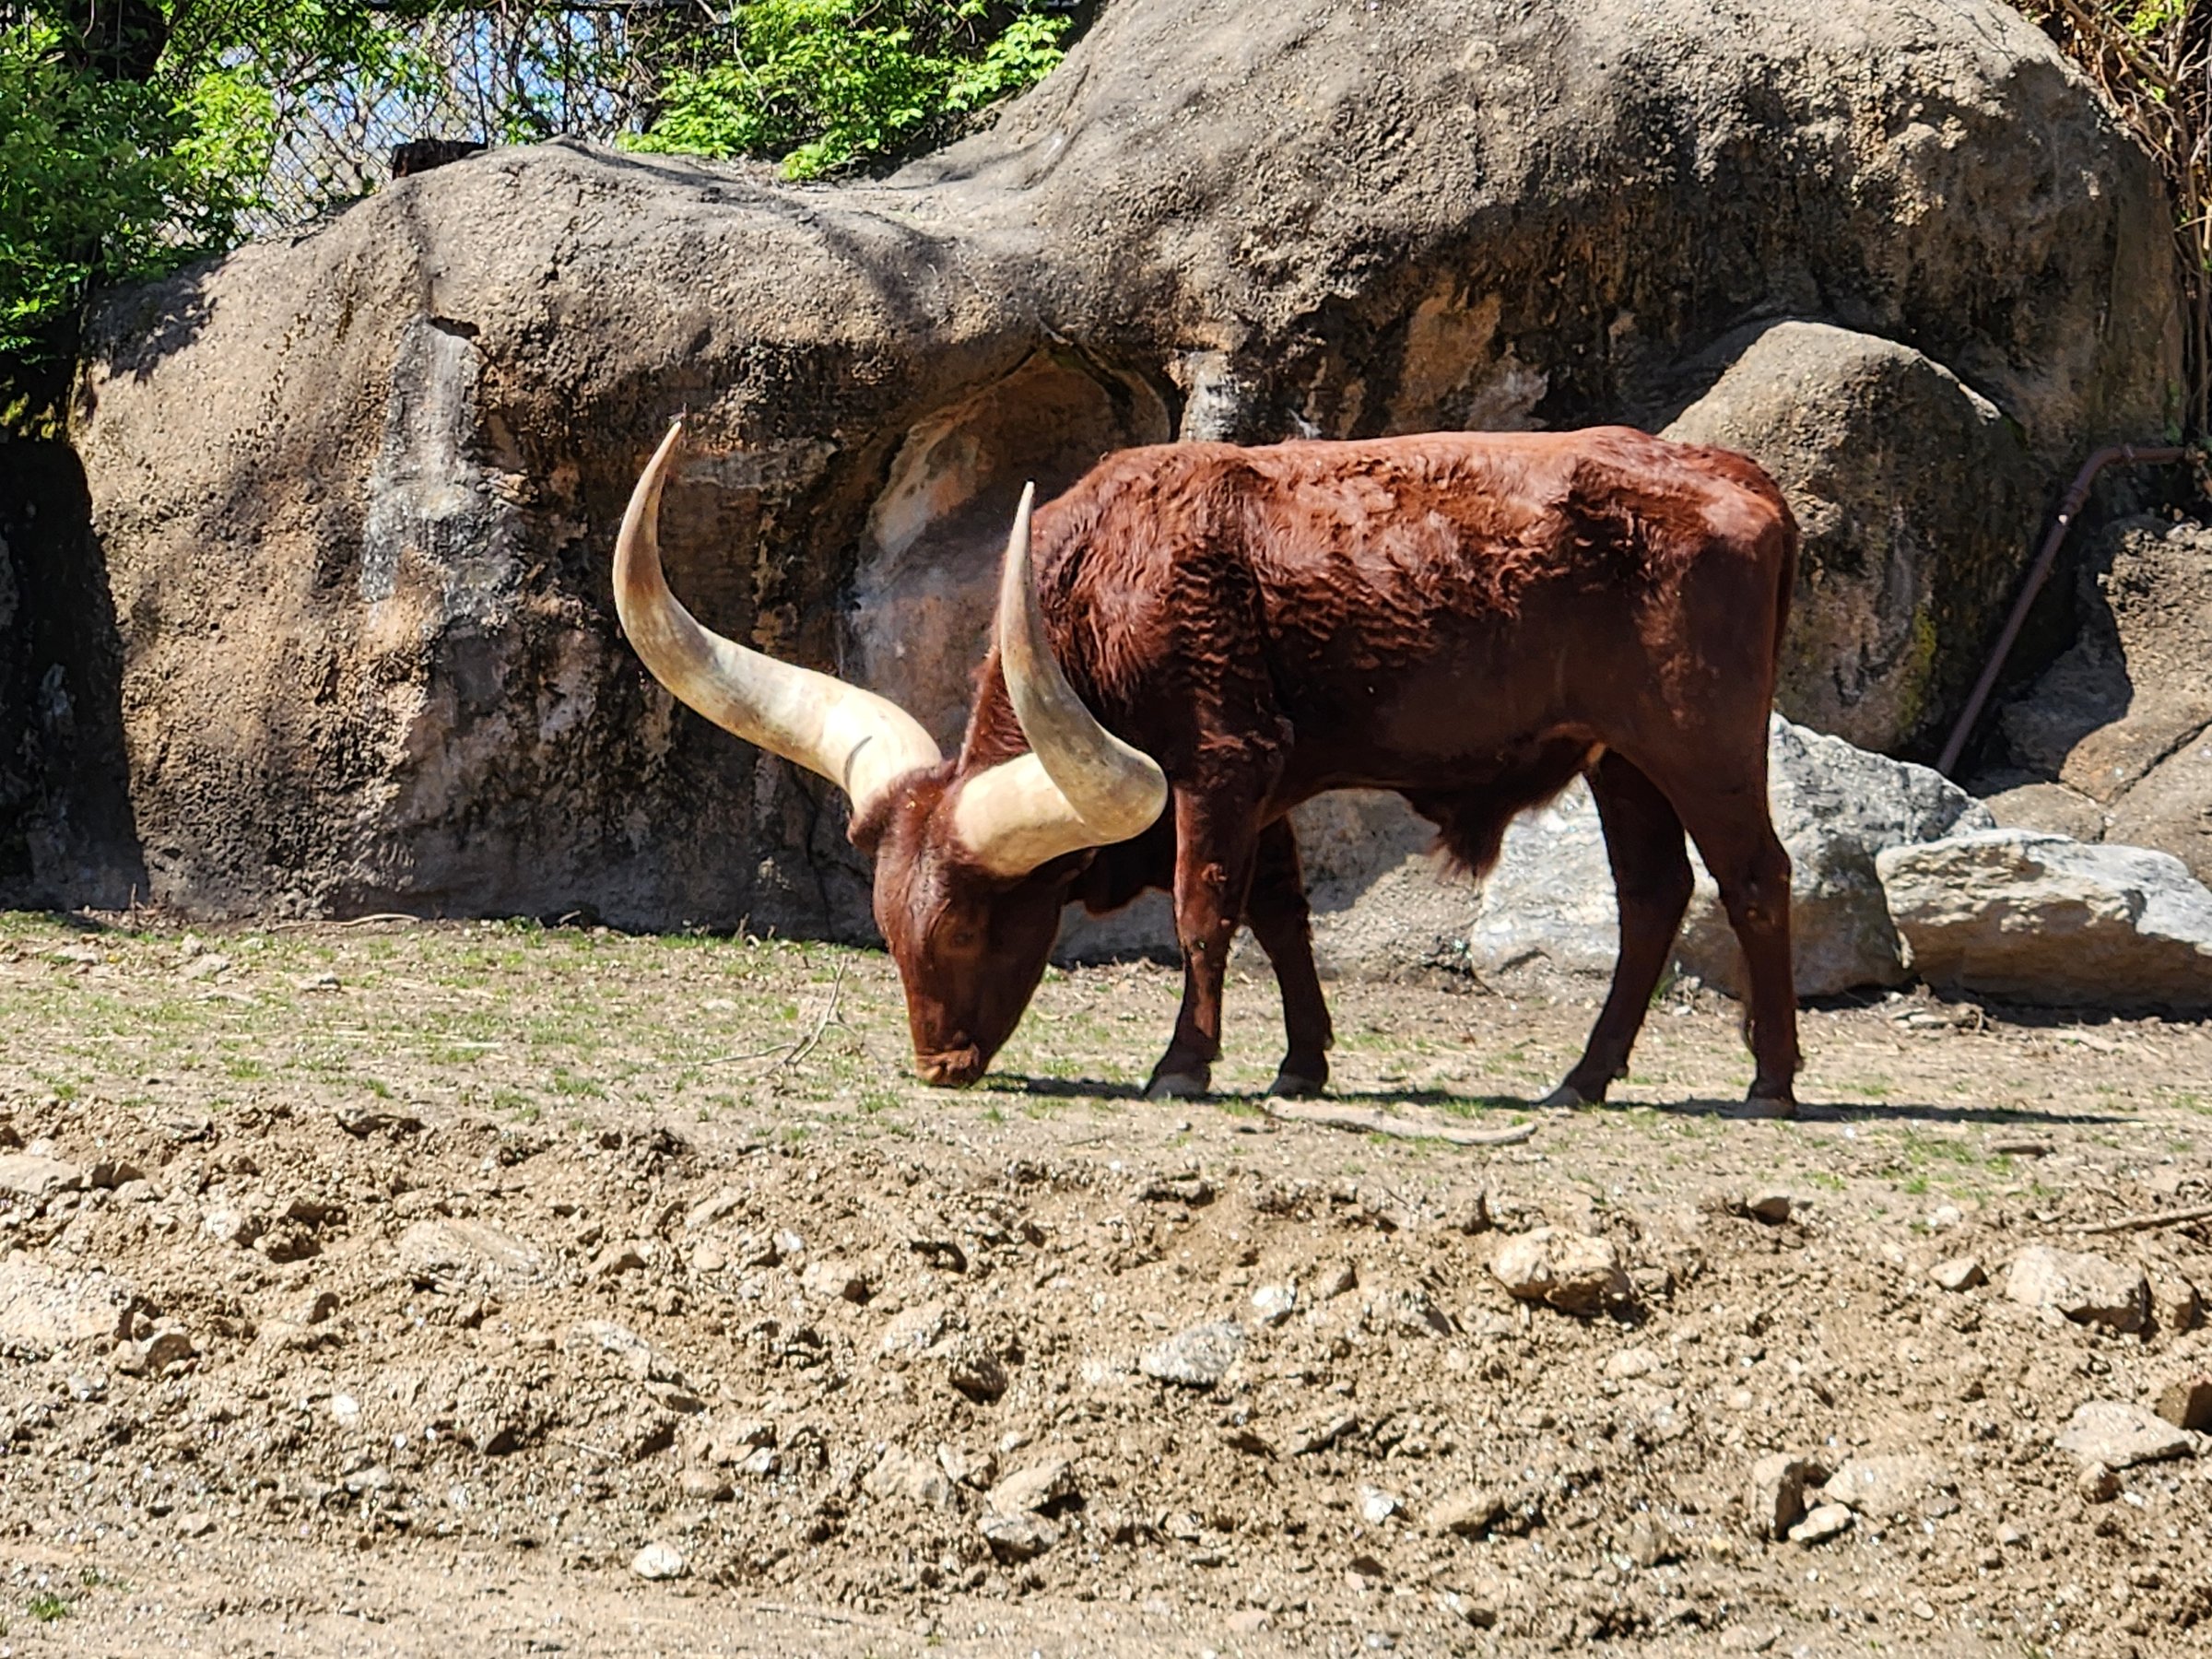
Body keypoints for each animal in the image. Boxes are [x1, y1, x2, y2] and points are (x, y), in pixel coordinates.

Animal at [613, 420, 1802, 1112]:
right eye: (889, 927)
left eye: (963, 929)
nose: (939, 1064)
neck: (1104, 583)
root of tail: (1744, 477)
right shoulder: (1265, 786)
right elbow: (1281, 915)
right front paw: (1301, 1063)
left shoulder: (1224, 765)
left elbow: (1204, 909)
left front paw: (1183, 1065)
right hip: (1623, 758)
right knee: (1653, 893)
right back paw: (1583, 1079)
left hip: (1699, 740)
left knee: (1753, 879)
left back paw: (1771, 1082)